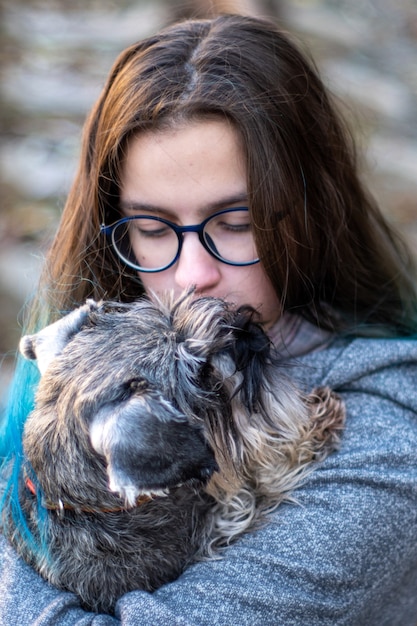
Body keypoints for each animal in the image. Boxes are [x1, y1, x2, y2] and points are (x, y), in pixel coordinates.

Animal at [5, 292, 344, 608]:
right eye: (203, 373)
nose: (249, 329)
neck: (79, 503)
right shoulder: (216, 526)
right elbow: (255, 482)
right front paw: (312, 430)